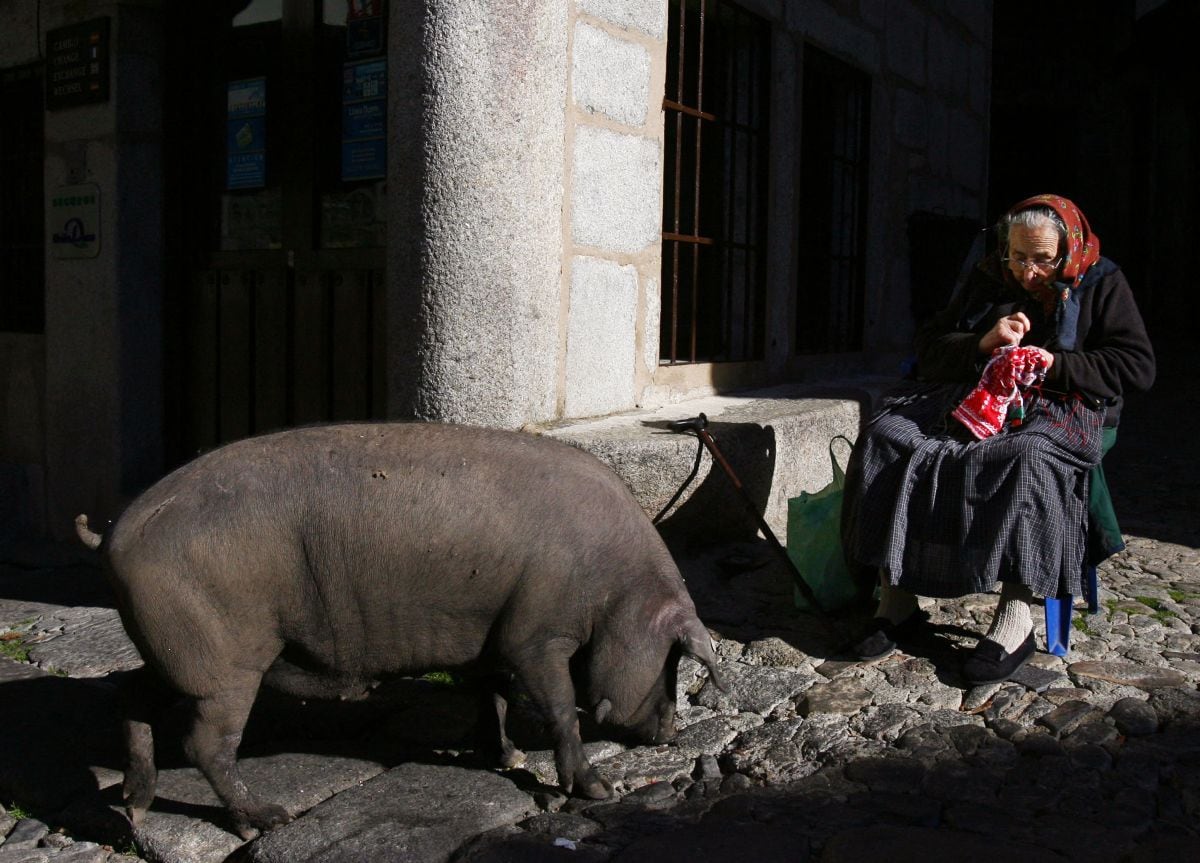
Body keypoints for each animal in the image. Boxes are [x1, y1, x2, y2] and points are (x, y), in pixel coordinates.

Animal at [75, 421, 721, 839]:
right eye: (674, 659)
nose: (670, 735)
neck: (616, 588)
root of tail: (111, 535)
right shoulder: (534, 636)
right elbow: (560, 708)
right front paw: (597, 790)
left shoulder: (489, 637)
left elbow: (491, 695)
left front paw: (507, 755)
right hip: (225, 665)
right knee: (205, 744)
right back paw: (268, 819)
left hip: (175, 655)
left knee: (128, 693)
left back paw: (135, 806)